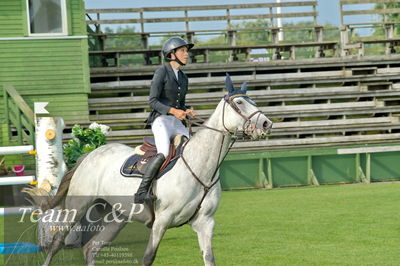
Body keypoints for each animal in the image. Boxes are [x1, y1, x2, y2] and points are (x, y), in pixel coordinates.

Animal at [25, 74, 272, 264]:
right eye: (239, 103)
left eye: (252, 101)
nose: (267, 124)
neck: (201, 167)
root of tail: (90, 155)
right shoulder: (161, 221)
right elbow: (148, 258)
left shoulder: (206, 223)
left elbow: (209, 258)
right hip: (77, 208)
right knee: (57, 243)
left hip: (117, 217)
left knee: (91, 248)